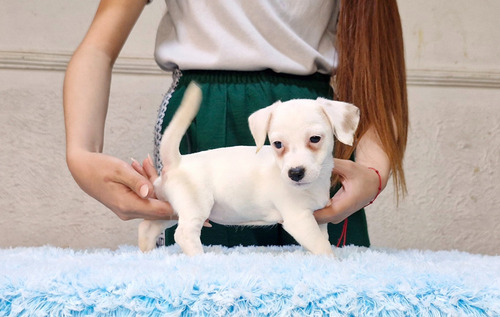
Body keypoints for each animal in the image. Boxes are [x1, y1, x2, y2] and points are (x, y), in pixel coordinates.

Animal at [139, 82, 360, 254]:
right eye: (278, 144)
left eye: (315, 139)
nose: (295, 173)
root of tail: (176, 161)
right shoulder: (299, 218)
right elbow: (323, 248)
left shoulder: (319, 219)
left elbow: (323, 241)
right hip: (195, 206)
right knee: (184, 235)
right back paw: (201, 258)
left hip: (172, 210)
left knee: (148, 226)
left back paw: (146, 251)